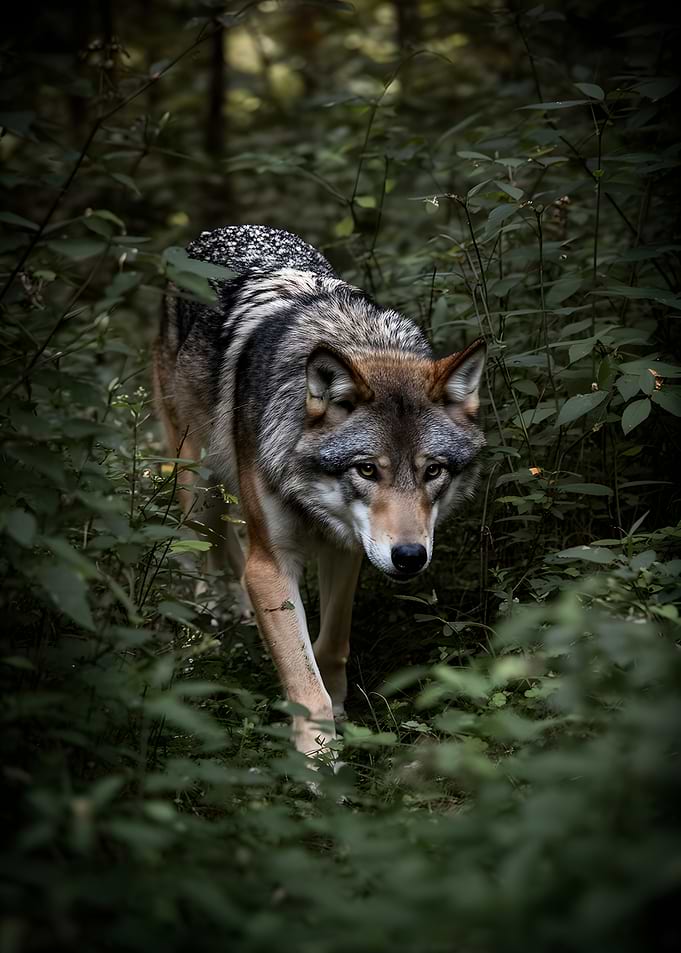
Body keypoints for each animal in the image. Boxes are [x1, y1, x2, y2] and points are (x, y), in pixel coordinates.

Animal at [153, 225, 486, 759]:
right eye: (367, 469)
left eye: (433, 471)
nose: (410, 557)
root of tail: (214, 231)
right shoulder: (271, 566)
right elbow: (304, 682)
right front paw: (316, 762)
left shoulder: (349, 545)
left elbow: (331, 645)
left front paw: (341, 711)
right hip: (197, 480)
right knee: (211, 543)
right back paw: (221, 606)